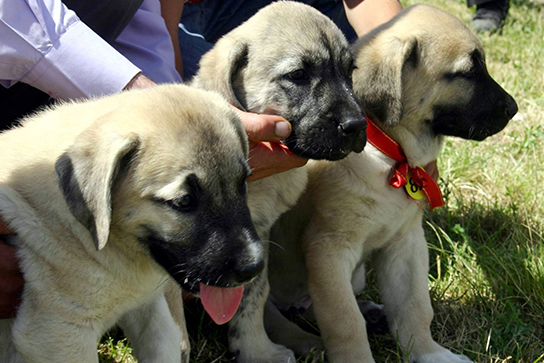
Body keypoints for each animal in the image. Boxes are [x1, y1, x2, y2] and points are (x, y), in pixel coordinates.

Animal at [0, 85, 264, 363]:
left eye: (242, 182)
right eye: (184, 201)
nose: (253, 268)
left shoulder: (149, 307)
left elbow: (164, 345)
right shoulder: (59, 331)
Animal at [186, 2, 366, 362]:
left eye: (349, 72)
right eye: (298, 75)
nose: (356, 125)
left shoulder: (259, 235)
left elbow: (253, 296)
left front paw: (256, 349)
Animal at [268, 4, 520, 363]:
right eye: (468, 72)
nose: (513, 108)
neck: (388, 151)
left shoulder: (405, 243)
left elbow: (414, 306)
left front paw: (429, 352)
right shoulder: (328, 250)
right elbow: (344, 321)